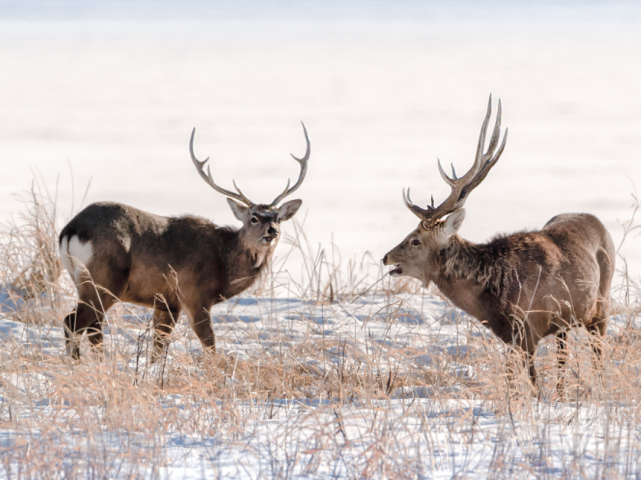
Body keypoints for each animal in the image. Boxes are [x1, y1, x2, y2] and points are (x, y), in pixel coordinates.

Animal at [60, 122, 310, 358]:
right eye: (254, 218)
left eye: (278, 218)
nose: (273, 231)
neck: (222, 264)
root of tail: (71, 230)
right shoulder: (194, 295)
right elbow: (209, 344)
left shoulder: (166, 302)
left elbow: (158, 346)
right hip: (104, 279)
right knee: (73, 322)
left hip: (86, 281)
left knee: (93, 328)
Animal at [382, 98, 612, 390]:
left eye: (414, 241)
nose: (386, 257)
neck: (497, 294)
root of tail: (598, 221)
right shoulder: (511, 335)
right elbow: (514, 379)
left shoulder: (528, 327)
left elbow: (531, 383)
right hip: (565, 323)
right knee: (563, 357)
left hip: (601, 305)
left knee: (597, 354)